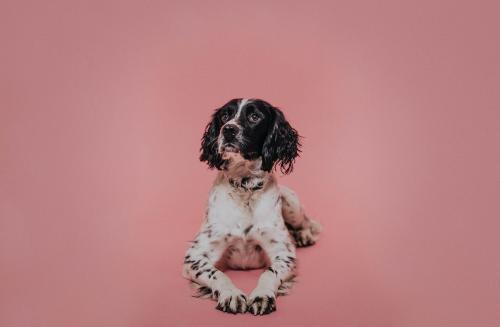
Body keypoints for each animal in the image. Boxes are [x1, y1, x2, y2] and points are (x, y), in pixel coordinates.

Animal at [183, 98, 320, 316]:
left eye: (255, 117)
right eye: (225, 115)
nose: (228, 130)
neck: (245, 186)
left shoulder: (284, 254)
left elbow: (269, 273)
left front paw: (262, 295)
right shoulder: (195, 255)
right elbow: (217, 273)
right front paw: (231, 294)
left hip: (291, 202)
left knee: (305, 221)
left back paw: (304, 235)